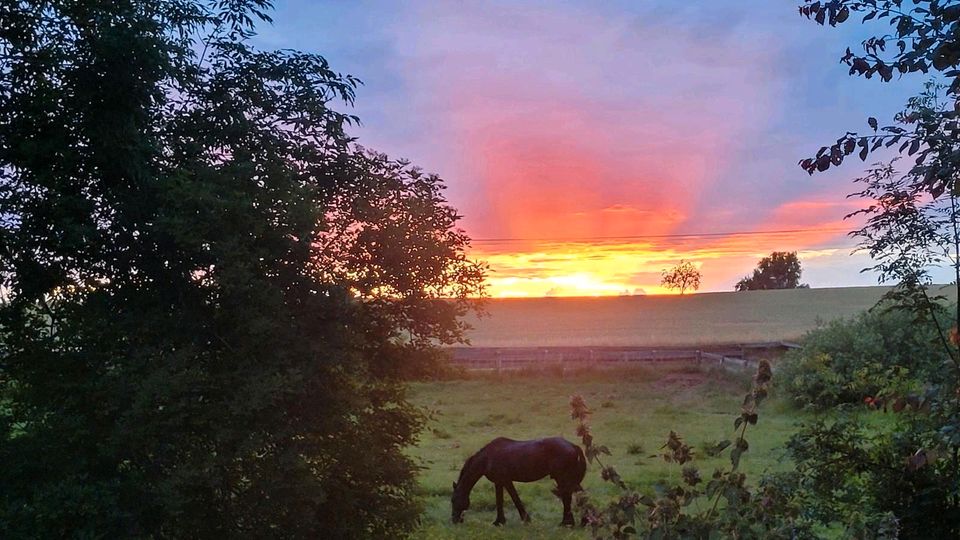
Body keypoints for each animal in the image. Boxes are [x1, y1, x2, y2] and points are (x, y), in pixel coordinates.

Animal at [450, 434, 584, 528]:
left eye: (453, 500)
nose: (454, 520)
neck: (487, 459)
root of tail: (573, 446)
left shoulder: (505, 480)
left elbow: (511, 499)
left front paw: (517, 520)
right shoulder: (500, 482)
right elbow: (503, 500)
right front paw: (502, 521)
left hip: (562, 479)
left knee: (567, 498)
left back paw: (567, 523)